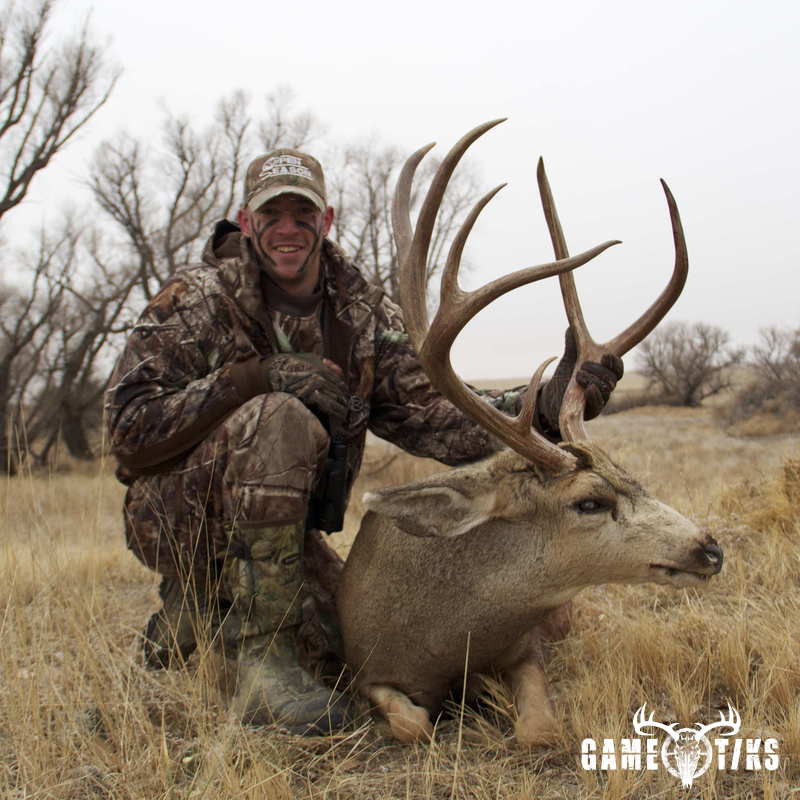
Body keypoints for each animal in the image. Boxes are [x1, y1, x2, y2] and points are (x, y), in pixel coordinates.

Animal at [334, 120, 724, 746]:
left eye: (634, 477)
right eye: (589, 502)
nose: (710, 548)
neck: (446, 639)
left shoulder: (529, 647)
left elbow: (539, 729)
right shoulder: (364, 671)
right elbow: (413, 725)